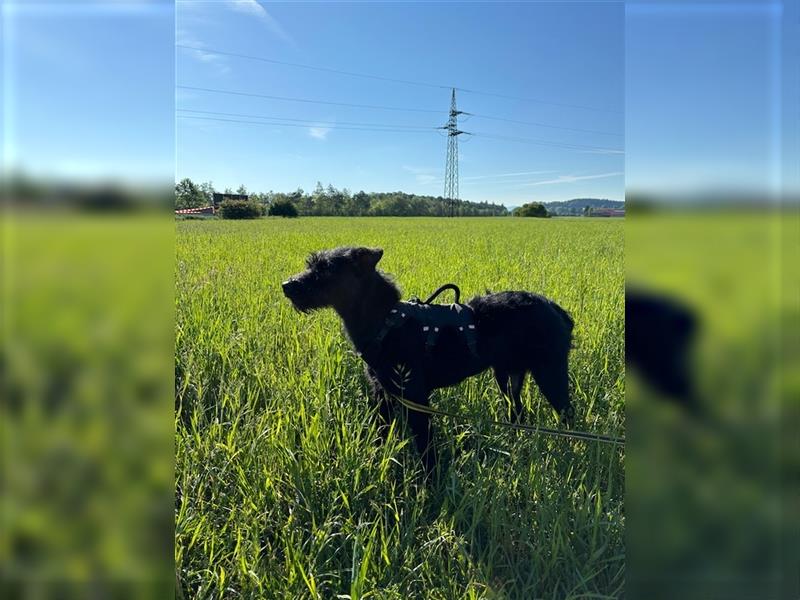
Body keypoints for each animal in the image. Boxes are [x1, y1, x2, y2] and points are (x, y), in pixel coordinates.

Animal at [282, 245, 576, 474]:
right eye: (311, 265)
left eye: (325, 270)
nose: (287, 285)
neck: (386, 320)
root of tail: (556, 309)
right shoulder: (382, 394)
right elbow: (380, 435)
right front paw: (376, 463)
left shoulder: (416, 397)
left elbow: (425, 447)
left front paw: (430, 484)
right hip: (508, 375)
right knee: (518, 412)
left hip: (550, 373)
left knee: (567, 415)